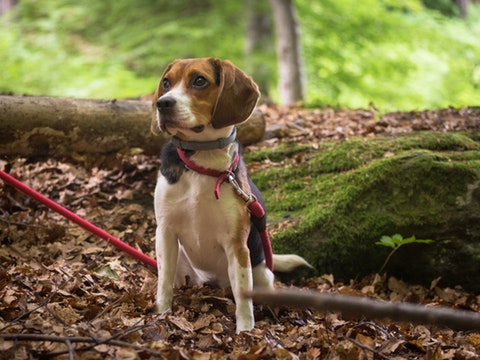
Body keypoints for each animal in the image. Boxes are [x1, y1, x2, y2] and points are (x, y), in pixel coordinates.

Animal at [152, 58, 312, 332]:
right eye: (166, 83)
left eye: (199, 81)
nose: (163, 103)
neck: (202, 161)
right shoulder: (165, 232)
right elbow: (163, 282)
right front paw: (161, 315)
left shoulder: (237, 244)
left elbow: (243, 296)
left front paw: (245, 331)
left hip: (261, 273)